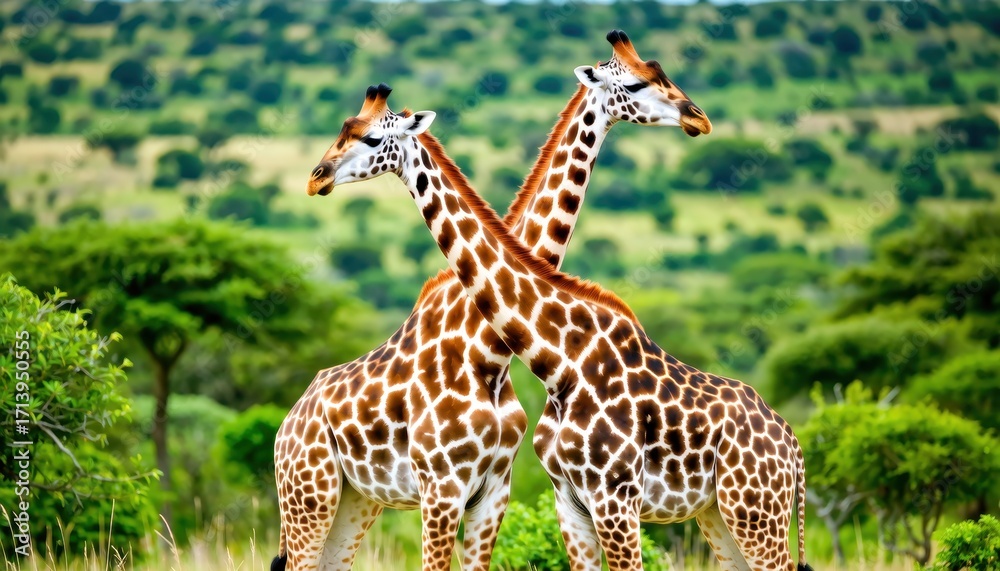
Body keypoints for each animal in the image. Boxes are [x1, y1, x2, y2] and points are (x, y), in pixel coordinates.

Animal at [274, 31, 712, 571]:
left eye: (658, 72)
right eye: (633, 84)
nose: (698, 117)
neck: (490, 354)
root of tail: (288, 422)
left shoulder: (493, 486)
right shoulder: (441, 485)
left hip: (354, 500)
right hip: (309, 494)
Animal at [305, 90, 812, 571]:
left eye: (373, 138)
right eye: (346, 129)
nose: (317, 177)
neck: (558, 361)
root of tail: (793, 446)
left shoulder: (601, 496)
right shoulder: (552, 498)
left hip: (749, 510)